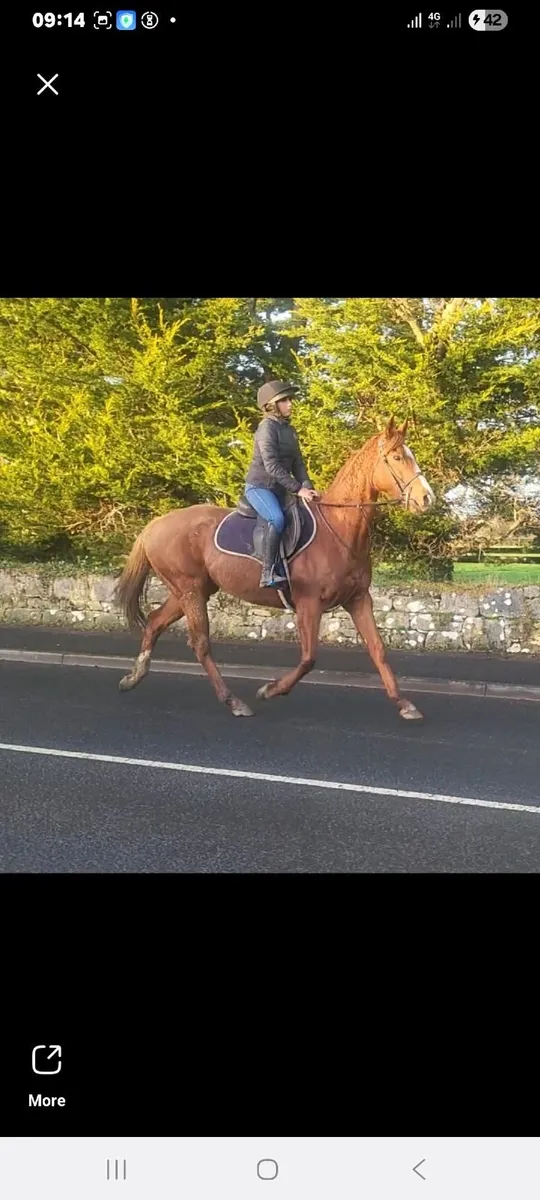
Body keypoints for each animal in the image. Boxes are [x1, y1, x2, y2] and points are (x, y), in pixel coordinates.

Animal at [114, 417, 435, 721]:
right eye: (397, 457)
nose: (426, 498)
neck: (338, 529)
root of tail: (156, 524)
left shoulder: (358, 600)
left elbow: (378, 649)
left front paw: (404, 704)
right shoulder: (309, 604)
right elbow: (308, 658)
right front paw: (270, 690)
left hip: (191, 591)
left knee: (155, 622)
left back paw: (133, 677)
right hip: (189, 590)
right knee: (200, 643)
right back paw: (234, 702)